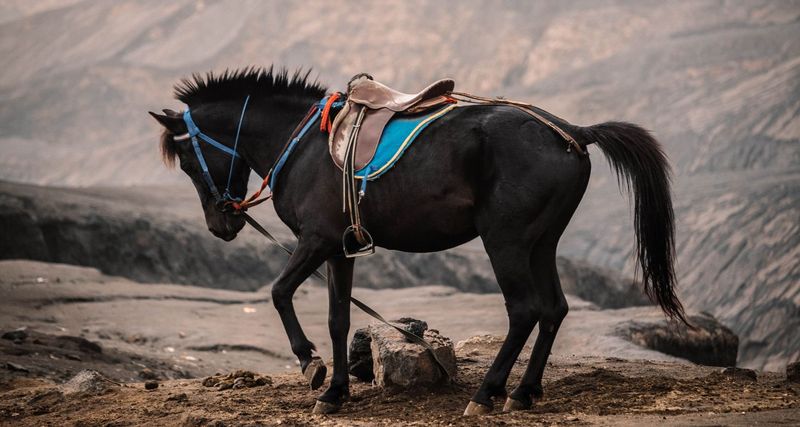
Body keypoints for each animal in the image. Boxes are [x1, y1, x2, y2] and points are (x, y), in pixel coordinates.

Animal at [152, 68, 688, 416]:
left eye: (188, 160)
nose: (221, 226)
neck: (303, 143)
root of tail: (572, 132)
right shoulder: (339, 249)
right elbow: (339, 320)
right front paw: (335, 394)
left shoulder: (315, 240)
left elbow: (280, 292)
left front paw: (311, 367)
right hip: (543, 243)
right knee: (554, 309)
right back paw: (524, 393)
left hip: (507, 242)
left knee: (525, 311)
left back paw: (486, 395)